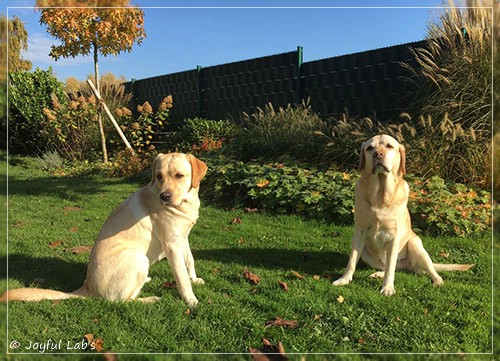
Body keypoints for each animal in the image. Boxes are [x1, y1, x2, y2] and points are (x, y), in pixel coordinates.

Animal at [1, 152, 207, 306]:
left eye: (179, 175)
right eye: (159, 176)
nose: (164, 197)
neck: (185, 203)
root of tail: (87, 287)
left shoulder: (182, 238)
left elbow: (190, 261)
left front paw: (194, 279)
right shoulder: (172, 245)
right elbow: (181, 277)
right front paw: (191, 300)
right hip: (138, 257)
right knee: (122, 300)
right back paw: (150, 299)